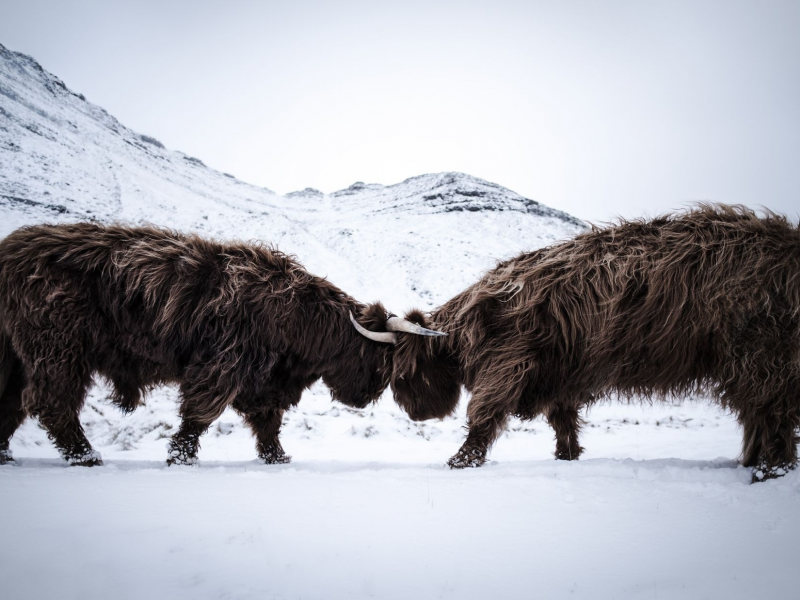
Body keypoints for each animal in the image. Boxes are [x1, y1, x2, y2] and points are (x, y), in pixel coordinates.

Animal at [0, 223, 444, 466]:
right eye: (380, 364)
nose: (364, 399)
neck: (296, 318)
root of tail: (11, 251)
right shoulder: (224, 365)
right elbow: (200, 414)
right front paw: (180, 456)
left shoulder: (262, 381)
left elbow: (268, 421)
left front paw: (277, 457)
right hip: (58, 346)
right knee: (52, 402)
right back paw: (86, 457)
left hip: (13, 354)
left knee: (11, 404)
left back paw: (6, 455)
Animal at [358, 206, 800, 482]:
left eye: (403, 375)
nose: (415, 415)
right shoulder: (558, 374)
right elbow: (563, 420)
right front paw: (566, 457)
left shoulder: (508, 362)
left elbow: (485, 414)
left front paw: (461, 462)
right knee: (758, 414)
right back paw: (750, 463)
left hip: (761, 352)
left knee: (772, 411)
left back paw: (768, 471)